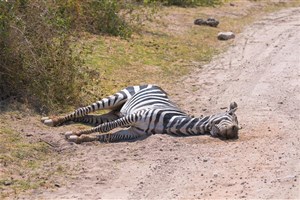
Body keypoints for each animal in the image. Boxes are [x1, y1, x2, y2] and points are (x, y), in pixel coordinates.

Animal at [41, 84, 239, 144]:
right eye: (231, 117)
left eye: (238, 127)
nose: (234, 132)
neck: (171, 122)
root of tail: (155, 85)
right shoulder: (136, 117)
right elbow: (105, 128)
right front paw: (75, 133)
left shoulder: (136, 131)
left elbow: (107, 136)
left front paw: (81, 138)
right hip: (118, 98)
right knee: (84, 110)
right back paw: (52, 119)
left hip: (116, 113)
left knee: (90, 118)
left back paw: (58, 121)